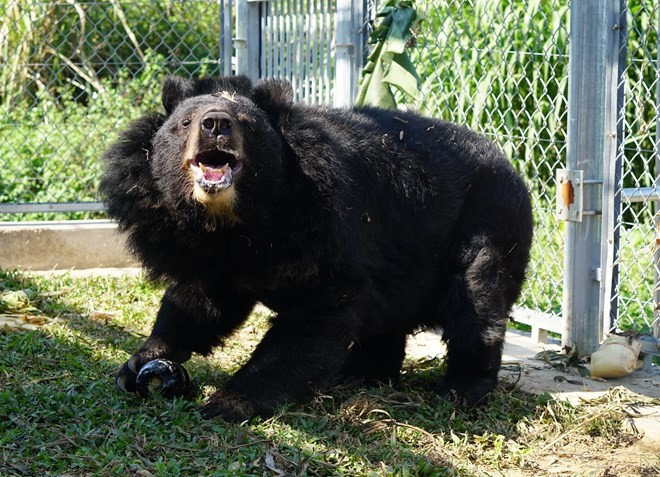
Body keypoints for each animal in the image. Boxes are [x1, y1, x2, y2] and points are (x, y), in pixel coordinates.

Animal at [100, 74, 532, 420]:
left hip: (488, 218)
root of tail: (509, 164)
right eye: (186, 122)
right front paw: (138, 364)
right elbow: (198, 303)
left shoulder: (320, 228)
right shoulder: (209, 254)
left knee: (476, 300)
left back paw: (461, 390)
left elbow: (317, 314)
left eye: (246, 124)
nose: (216, 124)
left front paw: (227, 402)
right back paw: (362, 372)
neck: (234, 221)